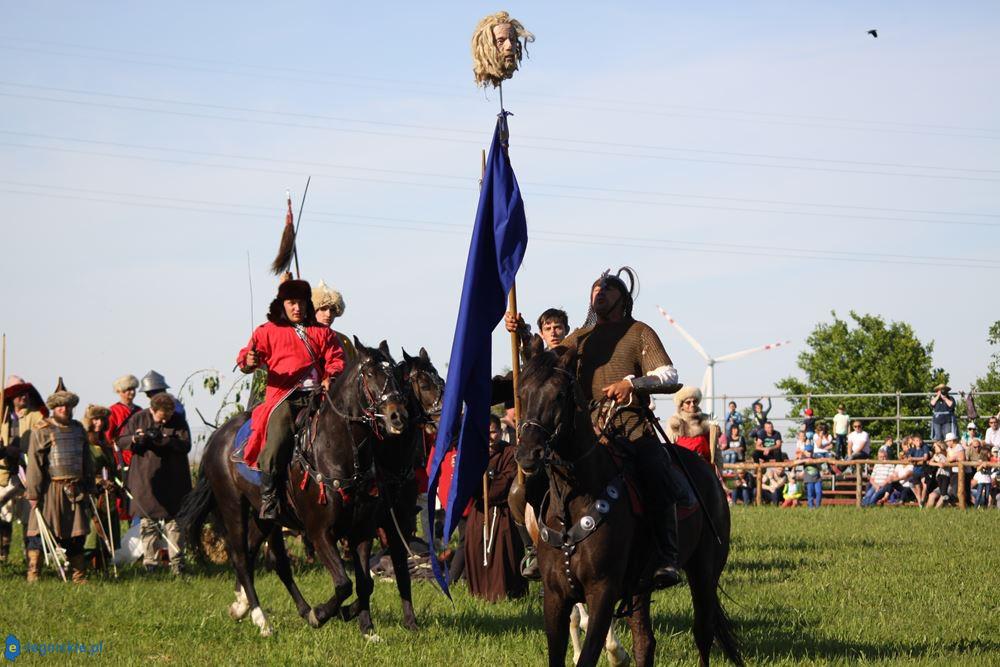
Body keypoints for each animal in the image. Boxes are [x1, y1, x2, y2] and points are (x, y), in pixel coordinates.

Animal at [177, 340, 406, 636]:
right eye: (368, 374)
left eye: (396, 373)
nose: (398, 416)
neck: (337, 454)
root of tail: (218, 436)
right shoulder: (320, 533)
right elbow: (344, 584)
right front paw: (323, 614)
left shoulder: (362, 531)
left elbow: (365, 584)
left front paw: (365, 628)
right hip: (233, 507)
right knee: (241, 558)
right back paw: (262, 618)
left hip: (265, 519)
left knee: (270, 561)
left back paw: (248, 606)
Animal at [516, 342, 744, 667]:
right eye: (522, 393)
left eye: (559, 394)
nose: (528, 454)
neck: (575, 500)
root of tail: (709, 473)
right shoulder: (556, 597)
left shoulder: (602, 593)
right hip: (640, 586)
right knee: (645, 642)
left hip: (704, 572)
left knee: (703, 632)